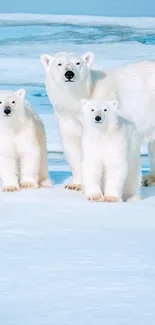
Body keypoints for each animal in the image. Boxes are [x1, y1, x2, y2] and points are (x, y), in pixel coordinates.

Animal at [40, 52, 155, 189]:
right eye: (59, 63)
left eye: (78, 63)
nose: (69, 74)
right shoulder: (67, 116)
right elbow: (73, 145)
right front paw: (75, 184)